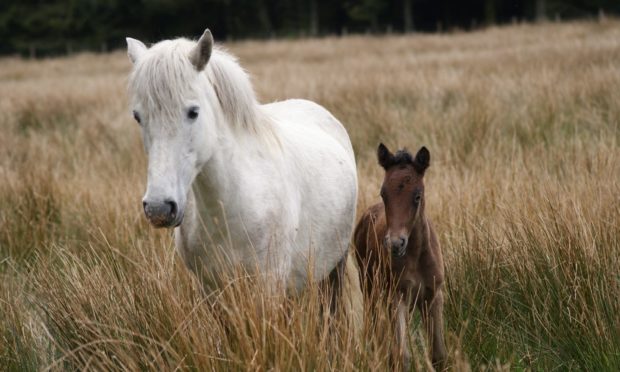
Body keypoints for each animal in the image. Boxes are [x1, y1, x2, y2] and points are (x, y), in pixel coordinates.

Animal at [126, 29, 358, 294]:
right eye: (138, 116)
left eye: (193, 112)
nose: (159, 209)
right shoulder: (209, 288)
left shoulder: (269, 283)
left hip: (336, 267)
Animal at [354, 144, 446, 370]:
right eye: (383, 194)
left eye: (417, 195)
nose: (395, 243)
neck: (416, 257)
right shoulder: (397, 296)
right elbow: (402, 356)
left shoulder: (434, 296)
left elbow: (439, 355)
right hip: (369, 288)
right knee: (373, 330)